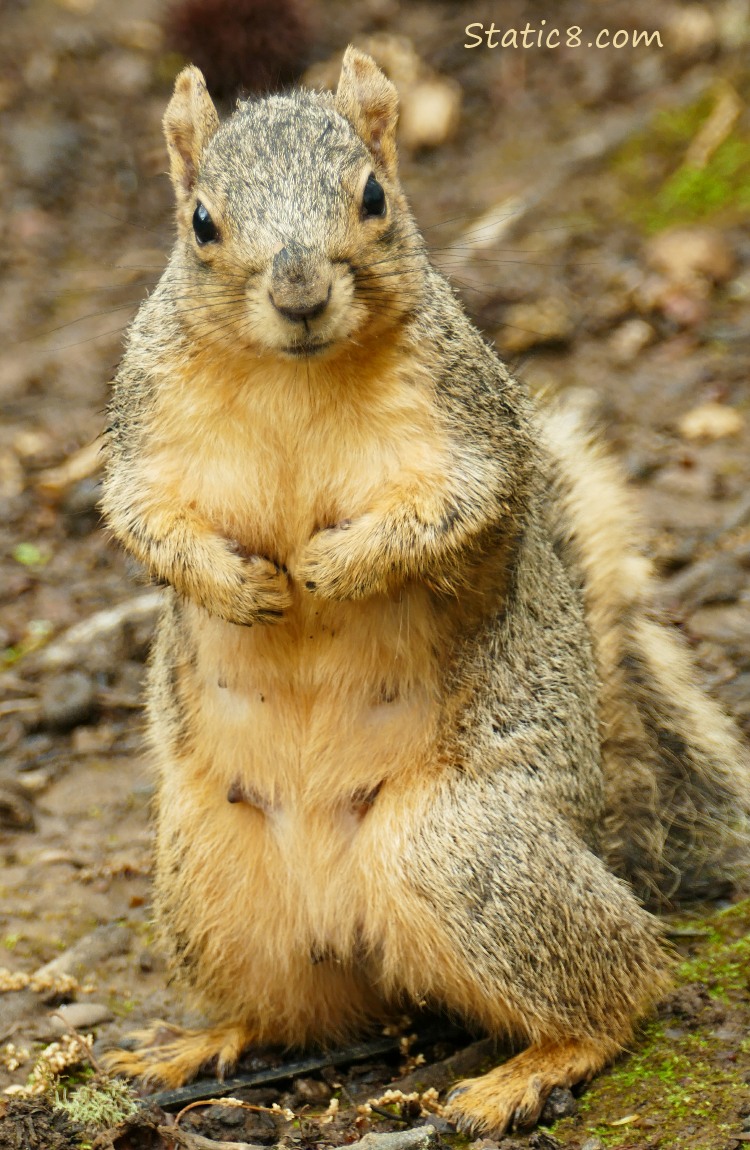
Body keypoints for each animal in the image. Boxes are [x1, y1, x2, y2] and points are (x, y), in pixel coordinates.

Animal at [99, 49, 750, 1136]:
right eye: (200, 221)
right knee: (292, 1012)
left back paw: (528, 1071)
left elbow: (455, 511)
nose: (300, 289)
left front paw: (330, 569)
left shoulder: (471, 431)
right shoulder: (139, 433)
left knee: (628, 986)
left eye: (374, 196)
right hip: (207, 875)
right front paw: (237, 582)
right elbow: (140, 520)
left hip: (462, 847)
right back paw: (199, 1043)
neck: (293, 376)